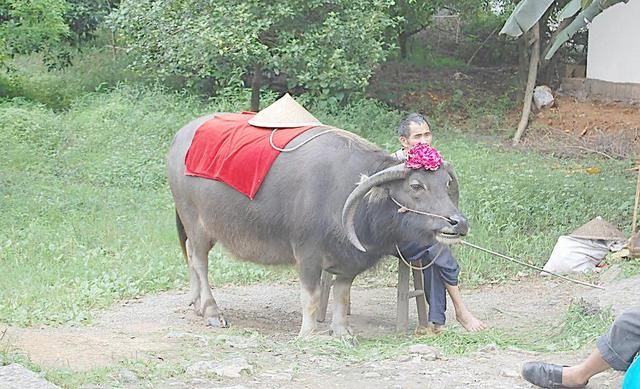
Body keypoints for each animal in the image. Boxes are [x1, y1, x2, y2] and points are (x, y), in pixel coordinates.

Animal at [168, 113, 468, 334]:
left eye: (446, 183)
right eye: (416, 185)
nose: (458, 222)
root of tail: (179, 138)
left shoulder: (349, 260)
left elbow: (341, 294)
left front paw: (342, 332)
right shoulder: (307, 254)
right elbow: (311, 297)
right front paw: (309, 333)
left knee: (191, 257)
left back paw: (196, 304)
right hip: (195, 222)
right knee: (199, 261)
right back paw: (211, 311)